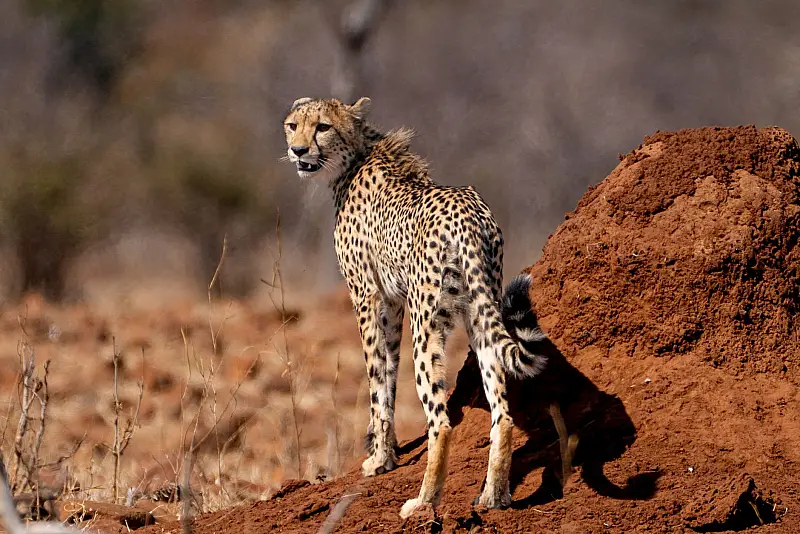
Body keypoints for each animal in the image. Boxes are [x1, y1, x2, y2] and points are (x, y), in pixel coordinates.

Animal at [282, 96, 549, 518]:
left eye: (322, 127)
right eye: (293, 125)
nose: (298, 150)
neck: (355, 158)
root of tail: (467, 211)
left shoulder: (366, 296)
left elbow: (376, 378)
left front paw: (379, 460)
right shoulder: (393, 302)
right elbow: (388, 373)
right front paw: (386, 452)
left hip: (427, 325)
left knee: (441, 421)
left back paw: (423, 502)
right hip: (480, 315)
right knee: (502, 412)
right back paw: (494, 496)